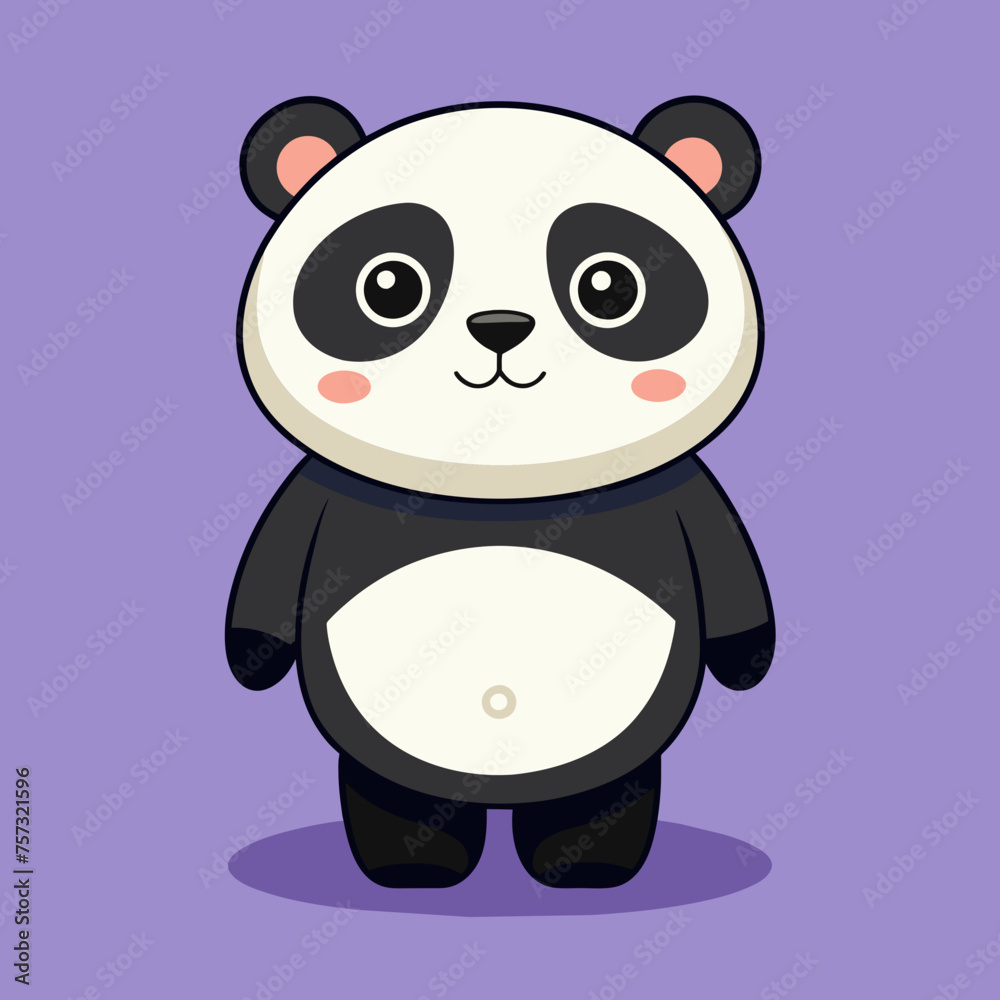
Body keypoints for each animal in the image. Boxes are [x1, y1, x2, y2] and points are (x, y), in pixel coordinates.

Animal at [226, 95, 775, 890]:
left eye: (609, 286)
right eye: (389, 286)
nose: (500, 328)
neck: (498, 482)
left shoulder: (682, 492)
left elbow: (733, 587)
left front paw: (747, 660)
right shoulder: (318, 492)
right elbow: (268, 584)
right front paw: (252, 657)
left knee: (604, 792)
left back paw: (583, 864)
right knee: (392, 790)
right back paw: (415, 865)